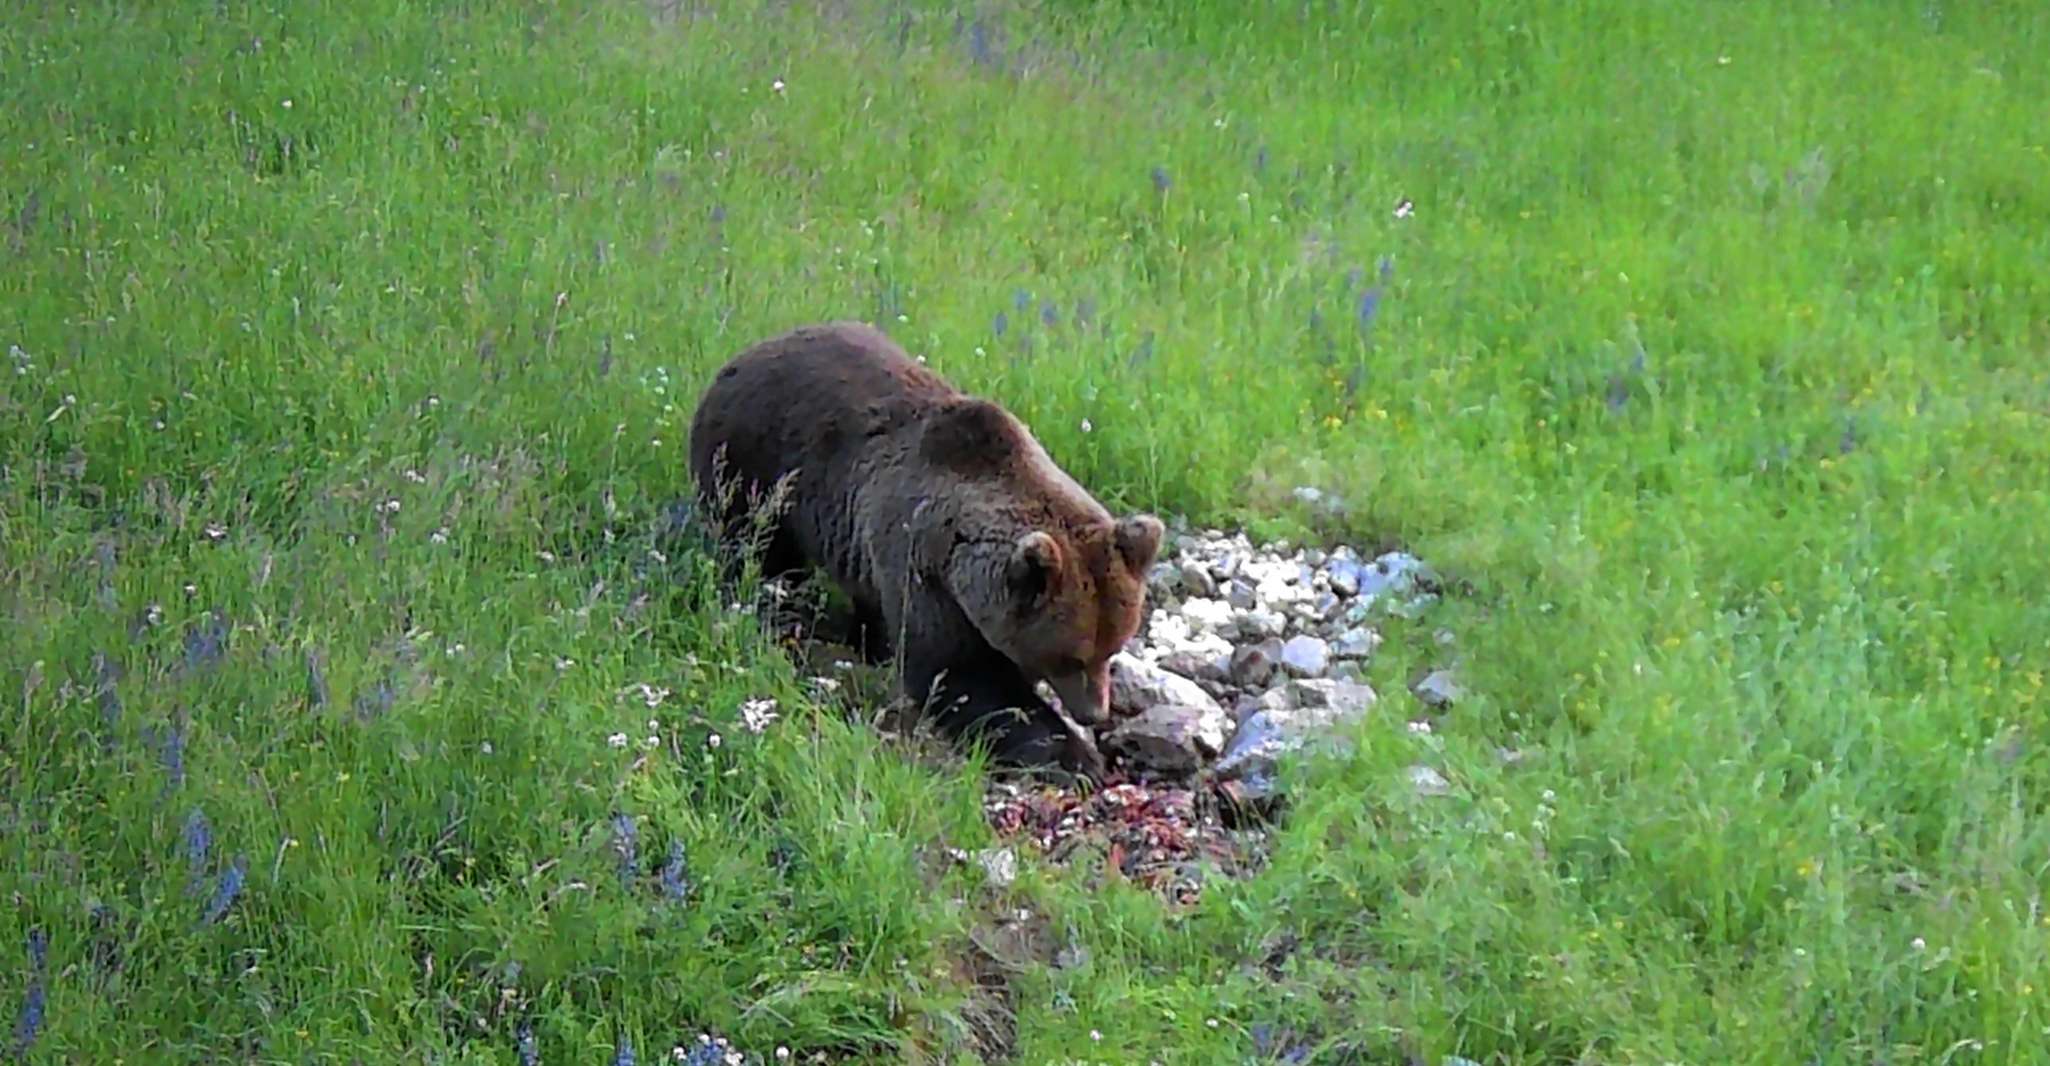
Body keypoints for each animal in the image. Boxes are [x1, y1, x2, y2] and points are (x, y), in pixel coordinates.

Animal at [692, 319, 1164, 779]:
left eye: (1112, 648)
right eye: (1070, 656)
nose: (1093, 713)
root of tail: (743, 354)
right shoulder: (920, 564)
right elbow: (956, 673)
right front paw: (1073, 756)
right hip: (753, 467)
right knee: (758, 553)